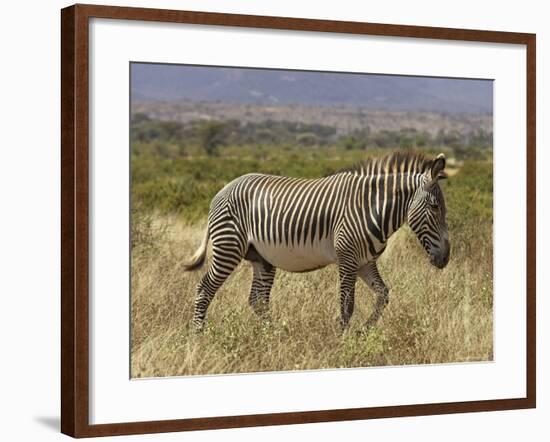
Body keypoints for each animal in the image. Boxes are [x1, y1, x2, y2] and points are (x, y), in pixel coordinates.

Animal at [183, 150, 450, 330]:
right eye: (435, 207)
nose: (445, 258)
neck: (370, 207)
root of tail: (222, 190)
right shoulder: (348, 258)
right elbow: (347, 305)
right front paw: (343, 342)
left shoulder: (365, 262)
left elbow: (383, 294)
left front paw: (364, 330)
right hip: (229, 247)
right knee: (205, 289)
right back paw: (198, 335)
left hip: (261, 257)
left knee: (258, 300)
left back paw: (273, 336)